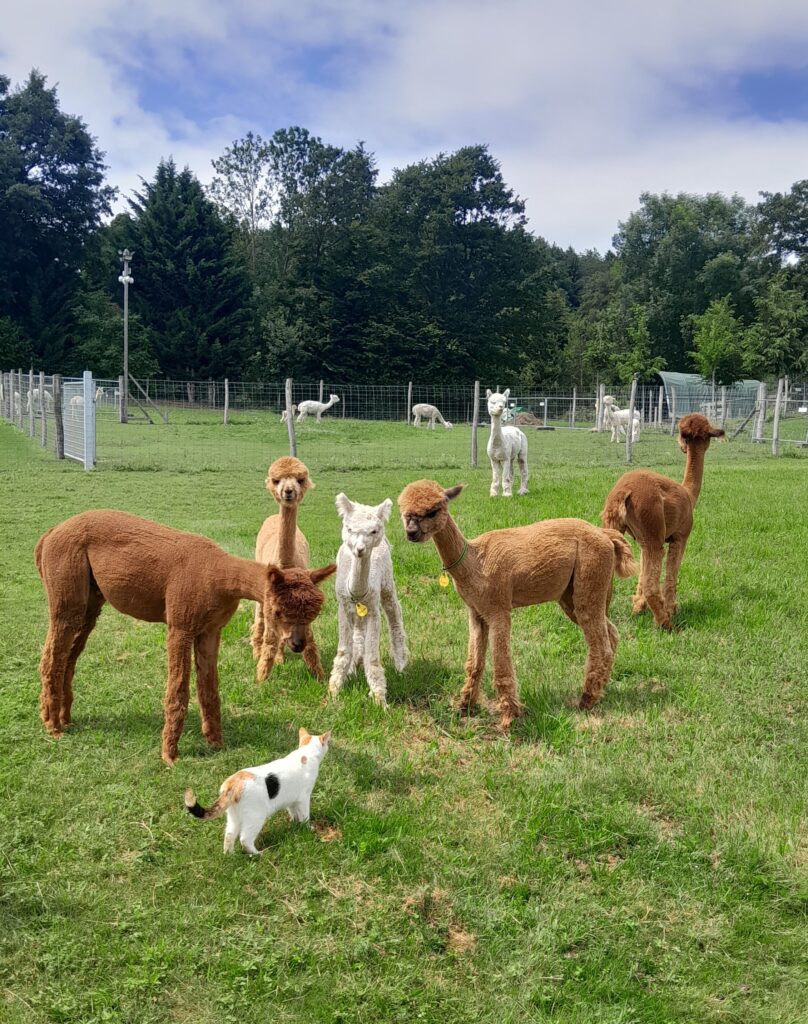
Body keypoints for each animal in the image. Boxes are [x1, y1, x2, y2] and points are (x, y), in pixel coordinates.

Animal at [184, 729, 329, 856]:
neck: (305, 754)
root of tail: (233, 783)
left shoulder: (291, 800)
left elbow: (293, 813)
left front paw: (295, 824)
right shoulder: (303, 798)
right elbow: (305, 815)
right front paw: (307, 828)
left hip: (234, 817)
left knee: (229, 836)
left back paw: (230, 855)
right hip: (256, 816)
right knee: (244, 839)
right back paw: (258, 854)